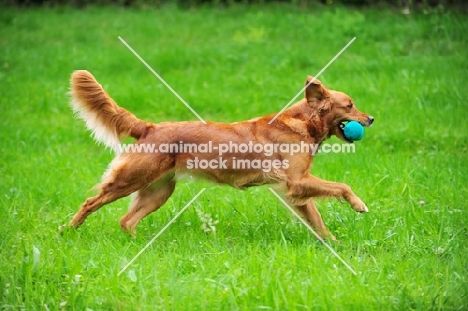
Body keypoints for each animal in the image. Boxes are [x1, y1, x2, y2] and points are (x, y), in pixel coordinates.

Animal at [66, 71, 372, 241]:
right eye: (350, 105)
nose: (371, 118)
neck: (302, 124)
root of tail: (149, 127)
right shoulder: (298, 180)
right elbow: (343, 186)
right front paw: (359, 205)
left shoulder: (295, 189)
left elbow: (317, 222)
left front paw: (335, 245)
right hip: (131, 179)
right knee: (91, 202)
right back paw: (67, 230)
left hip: (158, 191)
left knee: (126, 221)